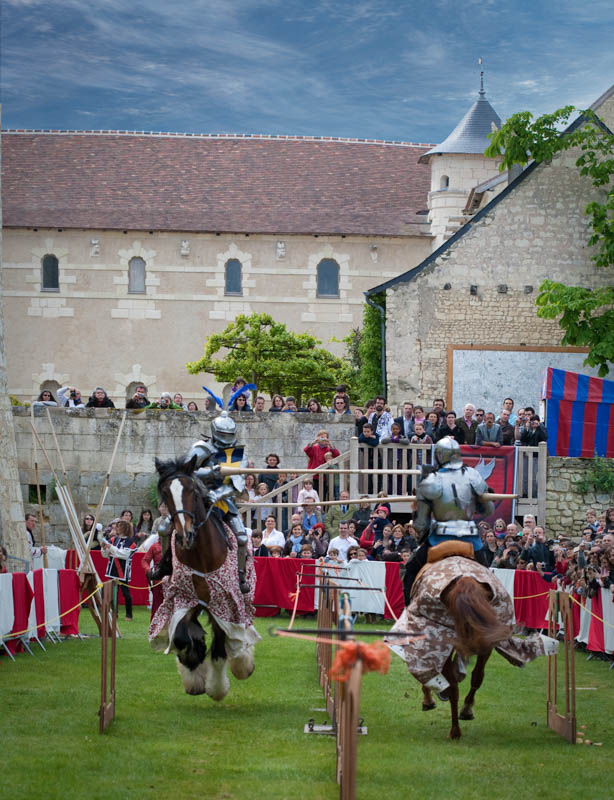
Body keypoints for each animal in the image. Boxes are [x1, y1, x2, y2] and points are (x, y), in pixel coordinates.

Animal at [158, 456, 258, 700]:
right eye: (165, 493)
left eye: (192, 490)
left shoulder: (224, 605)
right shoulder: (185, 600)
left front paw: (217, 688)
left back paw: (242, 663)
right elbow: (182, 638)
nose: (185, 535)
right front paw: (193, 667)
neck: (201, 555)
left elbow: (220, 647)